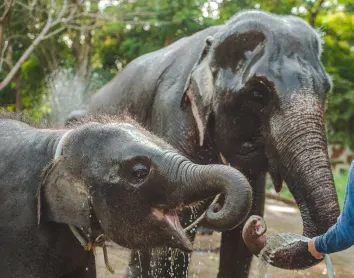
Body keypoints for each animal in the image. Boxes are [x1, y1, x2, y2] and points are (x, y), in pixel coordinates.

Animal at [88, 9, 340, 276]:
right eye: (257, 95)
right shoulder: (174, 112)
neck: (215, 37)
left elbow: (242, 233)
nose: (259, 227)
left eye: (326, 90)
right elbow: (172, 233)